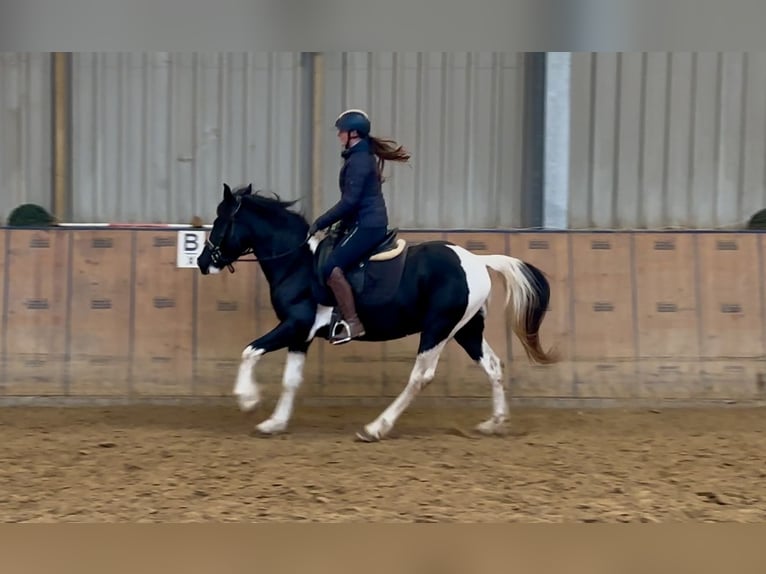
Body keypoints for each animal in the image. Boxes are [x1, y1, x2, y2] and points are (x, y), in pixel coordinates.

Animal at [198, 182, 560, 444]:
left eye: (221, 221)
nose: (203, 262)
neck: (297, 262)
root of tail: (476, 261)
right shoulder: (302, 334)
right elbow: (291, 379)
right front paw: (274, 423)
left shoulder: (294, 324)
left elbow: (250, 350)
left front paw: (247, 399)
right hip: (466, 330)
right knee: (493, 366)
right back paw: (493, 423)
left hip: (438, 328)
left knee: (420, 377)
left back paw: (375, 428)